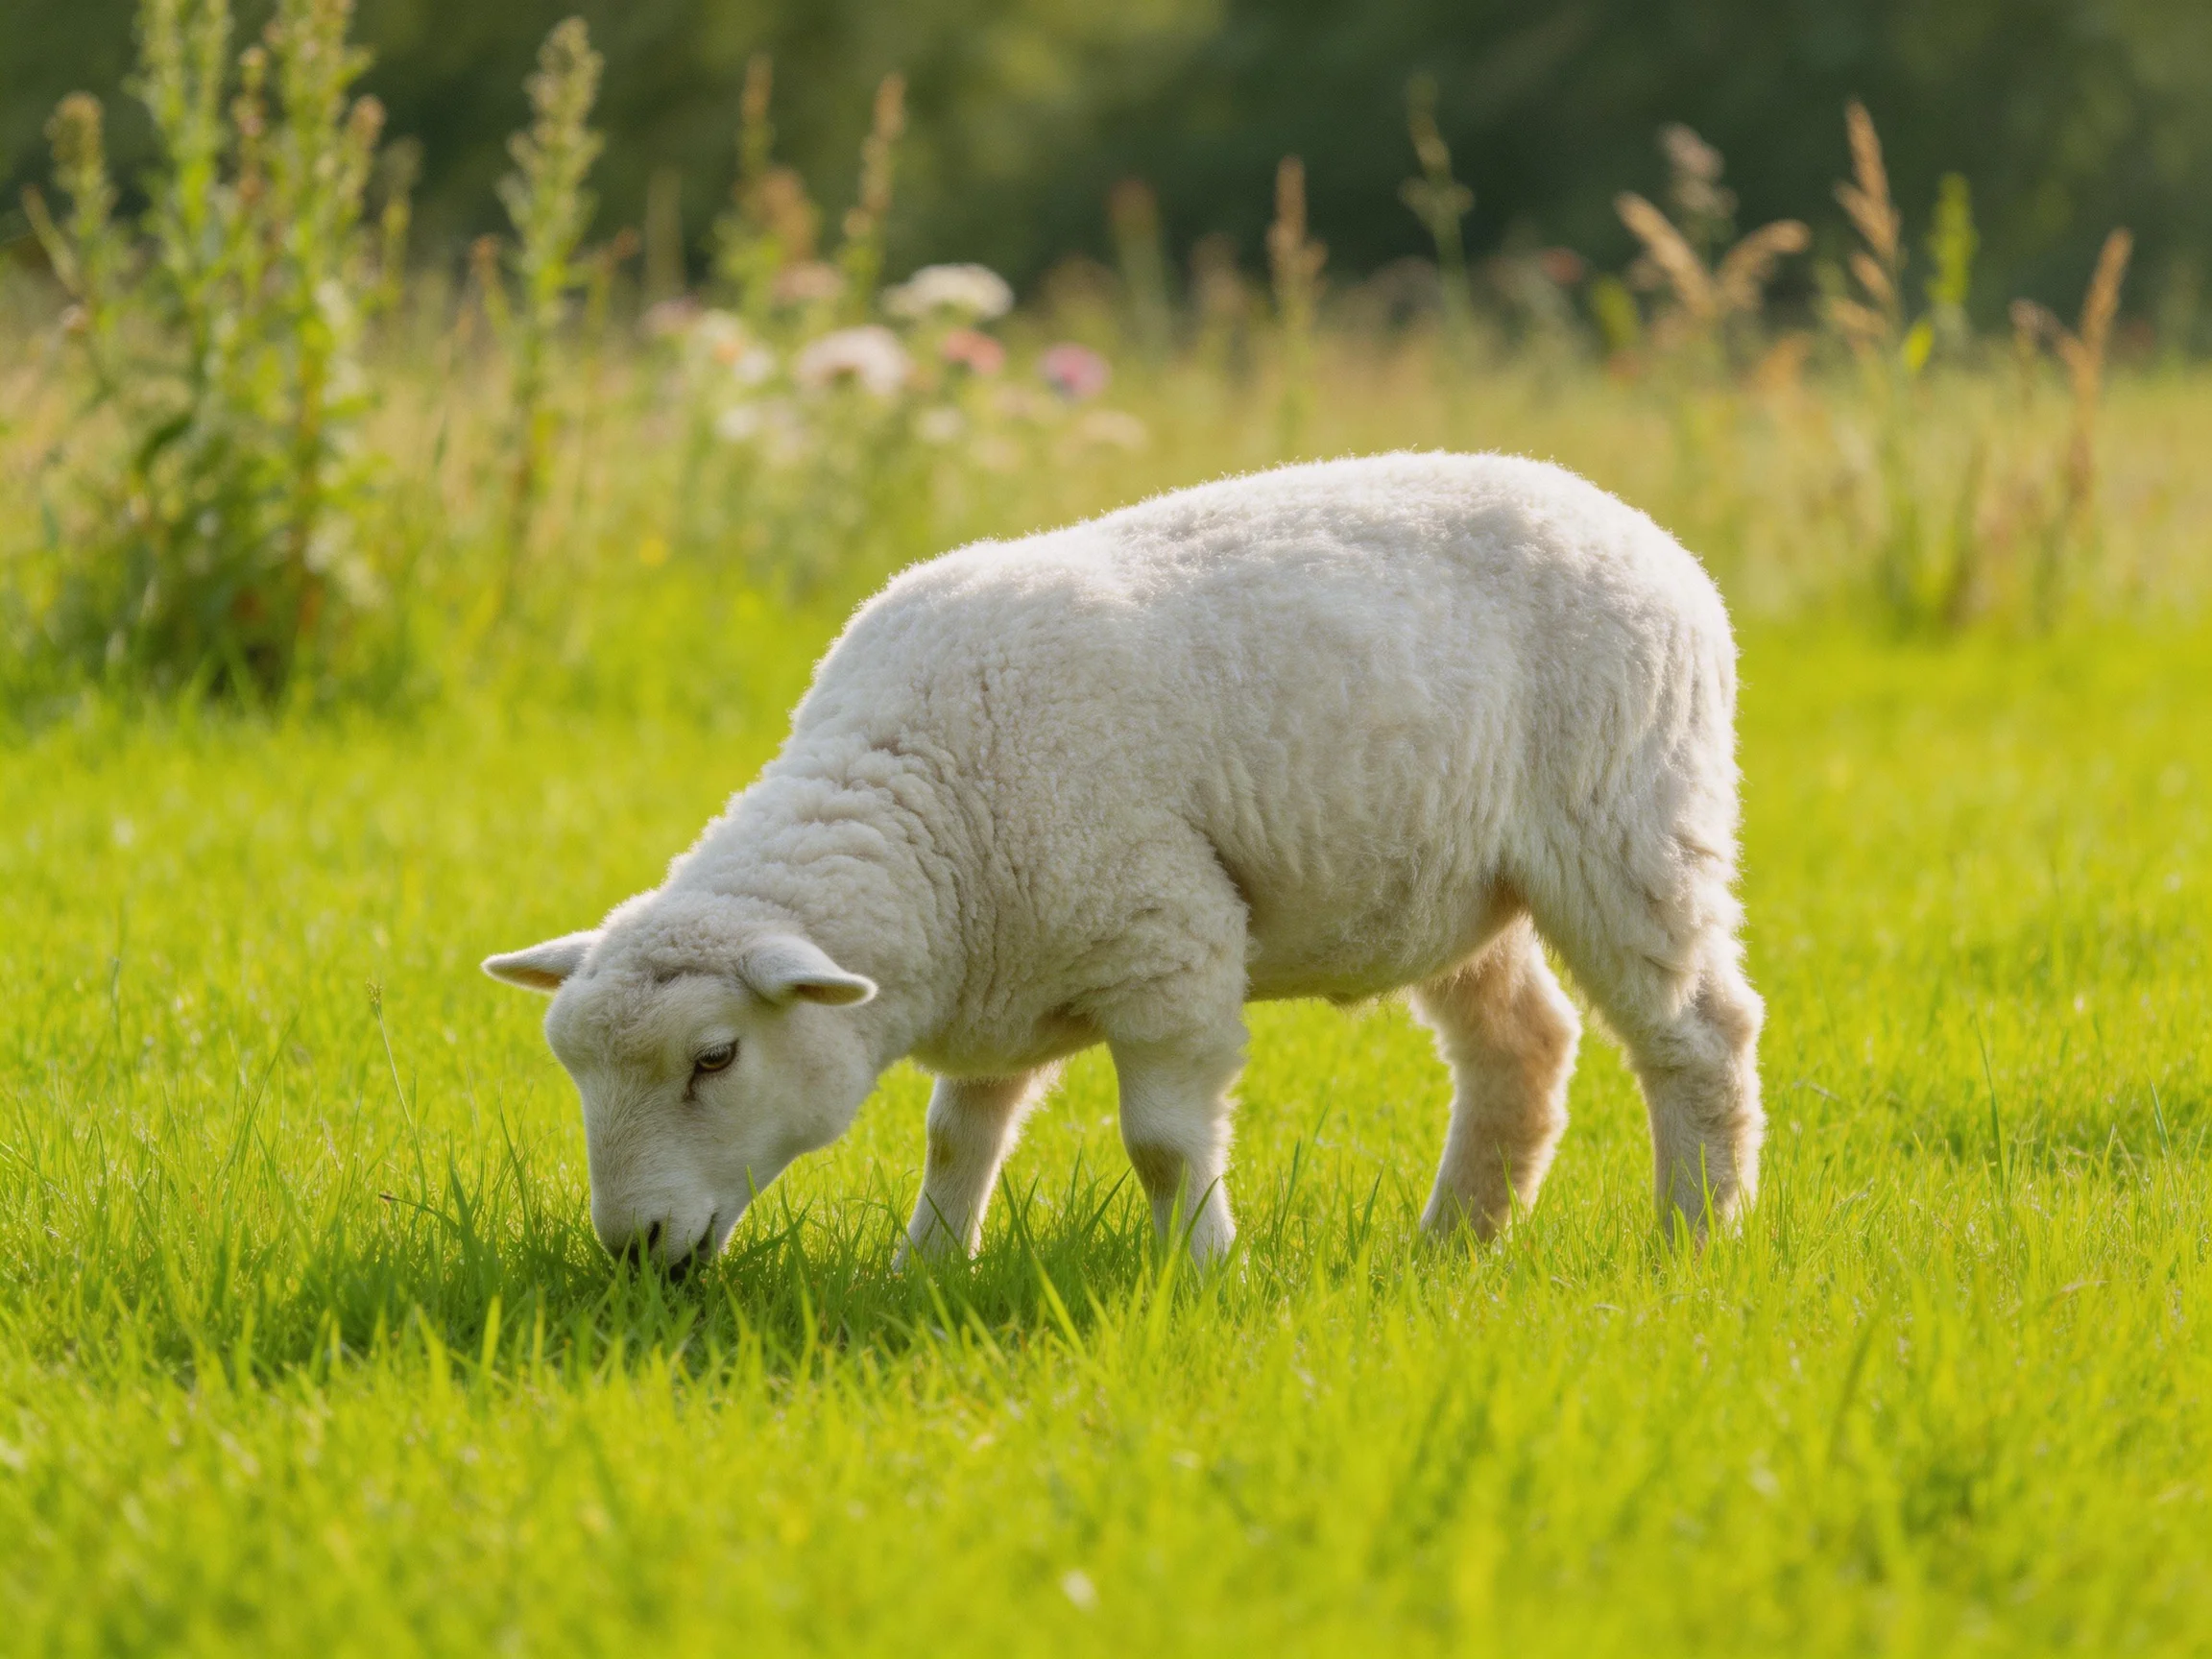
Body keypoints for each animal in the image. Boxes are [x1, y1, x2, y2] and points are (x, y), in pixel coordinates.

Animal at [485, 452, 1764, 1272]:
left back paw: (1693, 1240)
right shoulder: (1006, 970)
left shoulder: (1166, 942)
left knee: (1698, 1036)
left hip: (1632, 822)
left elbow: (1159, 1145)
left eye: (715, 1058)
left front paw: (1203, 1277)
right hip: (1455, 888)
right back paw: (1452, 1247)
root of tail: (1634, 523)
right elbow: (960, 1135)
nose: (634, 1251)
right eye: (575, 1071)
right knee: (1523, 1050)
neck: (929, 798)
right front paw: (927, 1267)